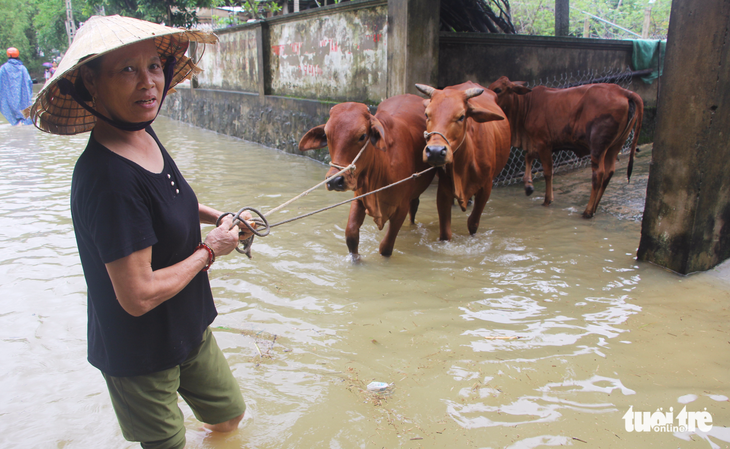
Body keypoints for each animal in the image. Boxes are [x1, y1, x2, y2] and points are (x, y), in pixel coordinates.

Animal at [298, 93, 436, 258]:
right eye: (326, 134)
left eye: (362, 136)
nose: (335, 180)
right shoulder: (358, 199)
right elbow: (351, 237)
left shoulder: (401, 208)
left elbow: (386, 247)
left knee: (414, 208)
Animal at [486, 75, 640, 217]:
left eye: (498, 89)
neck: (526, 105)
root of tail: (623, 91)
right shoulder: (539, 144)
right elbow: (528, 156)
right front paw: (528, 186)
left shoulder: (543, 143)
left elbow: (548, 172)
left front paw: (547, 200)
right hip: (615, 146)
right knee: (609, 173)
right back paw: (594, 208)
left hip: (598, 146)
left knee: (599, 174)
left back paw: (587, 211)